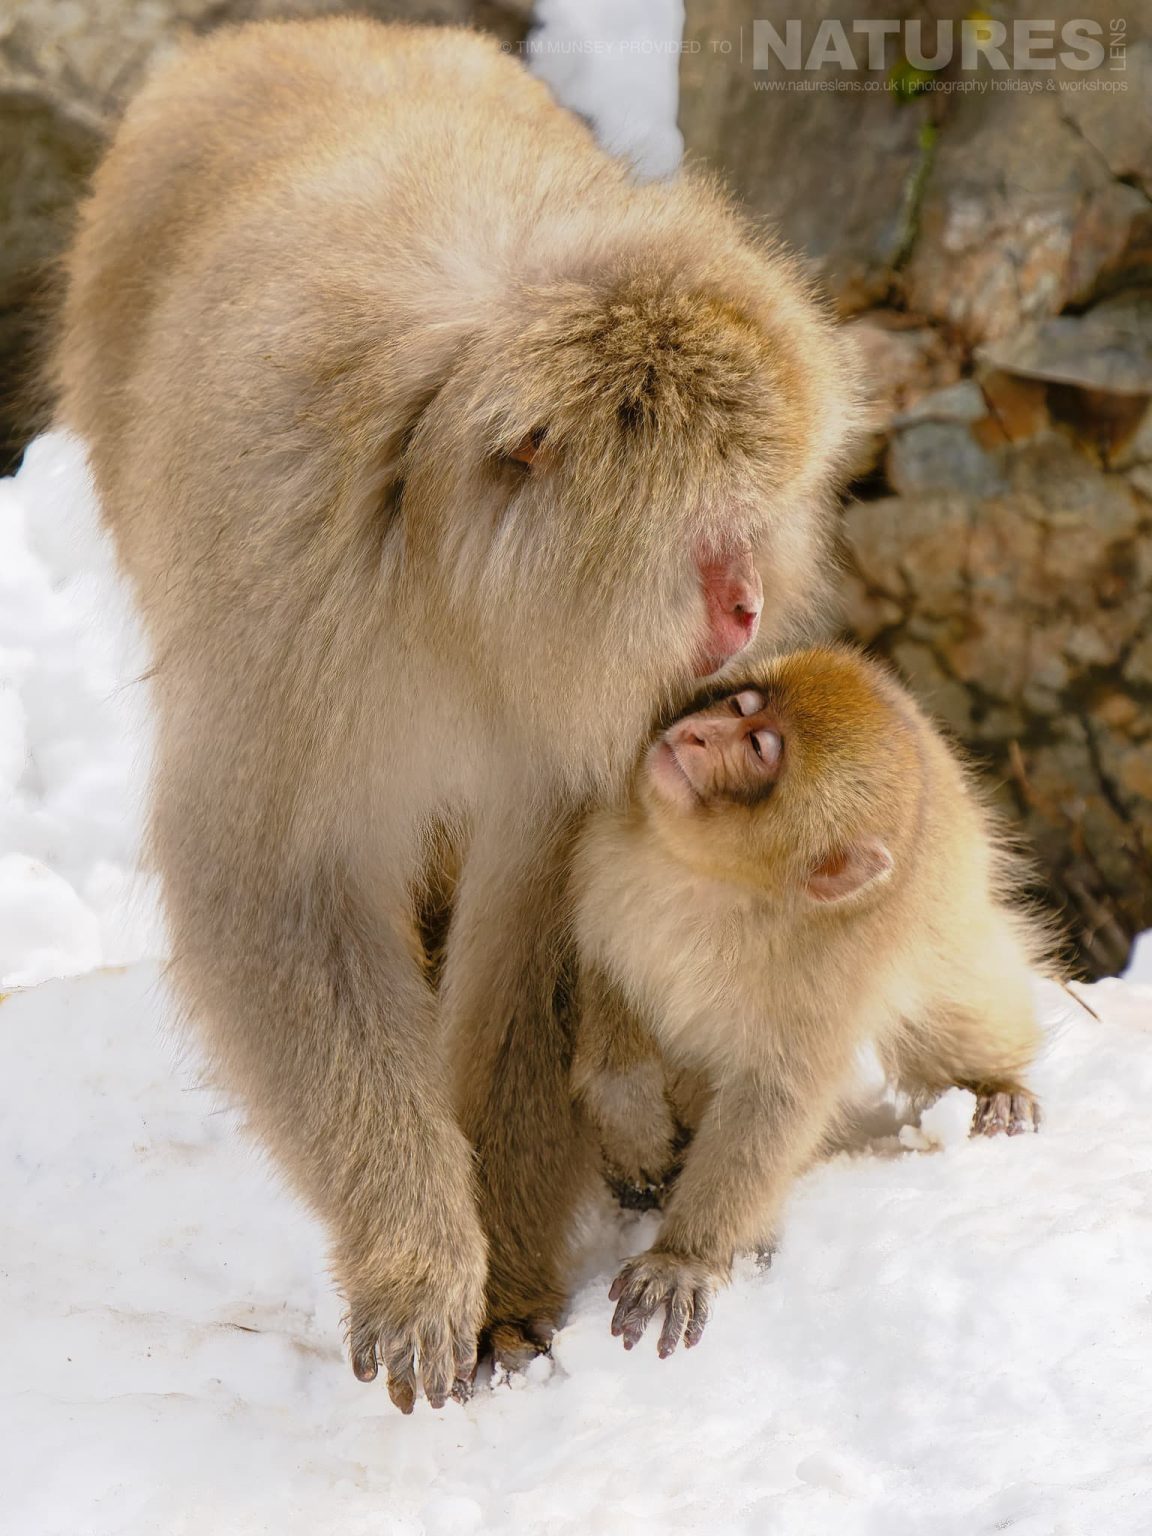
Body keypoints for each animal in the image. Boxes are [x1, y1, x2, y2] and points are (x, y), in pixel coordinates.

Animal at [48, 18, 861, 1410]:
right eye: (709, 536)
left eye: (757, 522)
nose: (749, 606)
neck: (454, 582)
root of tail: (274, 33)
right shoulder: (289, 584)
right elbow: (279, 886)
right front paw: (421, 1258)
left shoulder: (588, 688)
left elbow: (543, 904)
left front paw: (511, 1277)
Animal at [569, 646, 1049, 1358]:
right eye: (741, 705)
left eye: (759, 748)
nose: (696, 735)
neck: (716, 884)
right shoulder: (609, 875)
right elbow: (612, 979)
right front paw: (631, 1122)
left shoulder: (829, 976)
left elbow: (774, 1098)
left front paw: (685, 1257)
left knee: (946, 1003)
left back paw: (998, 1085)